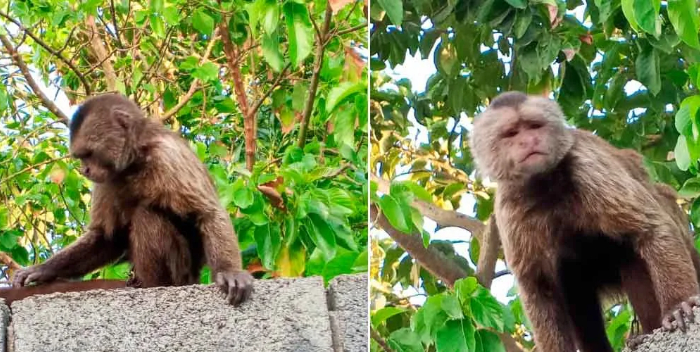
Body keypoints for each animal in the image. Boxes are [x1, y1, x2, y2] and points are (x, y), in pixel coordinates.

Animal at [12, 93, 253, 306]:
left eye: (88, 154)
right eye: (81, 157)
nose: (84, 170)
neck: (134, 161)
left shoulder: (169, 156)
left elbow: (207, 213)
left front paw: (229, 271)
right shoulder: (106, 180)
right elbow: (106, 237)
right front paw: (41, 270)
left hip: (183, 273)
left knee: (147, 215)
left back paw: (156, 284)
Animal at [468, 91, 700, 352]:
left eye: (534, 126)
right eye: (511, 133)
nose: (529, 141)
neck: (543, 187)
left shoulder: (586, 166)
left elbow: (651, 228)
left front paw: (678, 305)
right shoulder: (507, 207)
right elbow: (538, 286)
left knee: (629, 249)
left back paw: (649, 330)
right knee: (571, 278)